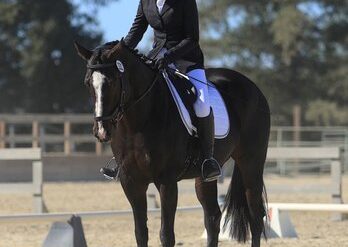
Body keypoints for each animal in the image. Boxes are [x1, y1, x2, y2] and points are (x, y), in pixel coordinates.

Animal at [75, 40, 270, 247]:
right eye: (87, 83)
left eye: (111, 81)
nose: (101, 131)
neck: (138, 122)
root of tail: (253, 87)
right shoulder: (131, 182)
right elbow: (140, 233)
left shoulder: (166, 181)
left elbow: (166, 235)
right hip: (205, 176)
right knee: (212, 217)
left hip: (251, 163)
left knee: (256, 216)